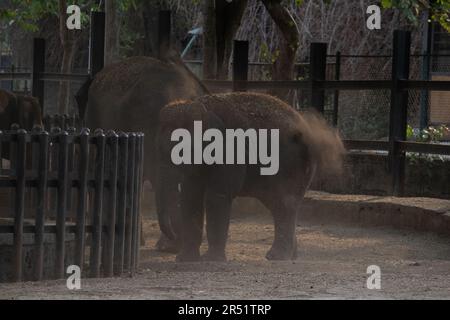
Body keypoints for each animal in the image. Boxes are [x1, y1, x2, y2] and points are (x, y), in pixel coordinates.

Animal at [156, 91, 342, 262]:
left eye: (181, 151)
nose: (170, 241)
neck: (202, 108)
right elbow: (190, 196)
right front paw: (185, 259)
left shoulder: (228, 150)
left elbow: (216, 196)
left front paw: (210, 260)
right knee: (277, 205)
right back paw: (289, 256)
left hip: (293, 165)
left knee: (284, 203)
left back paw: (277, 257)